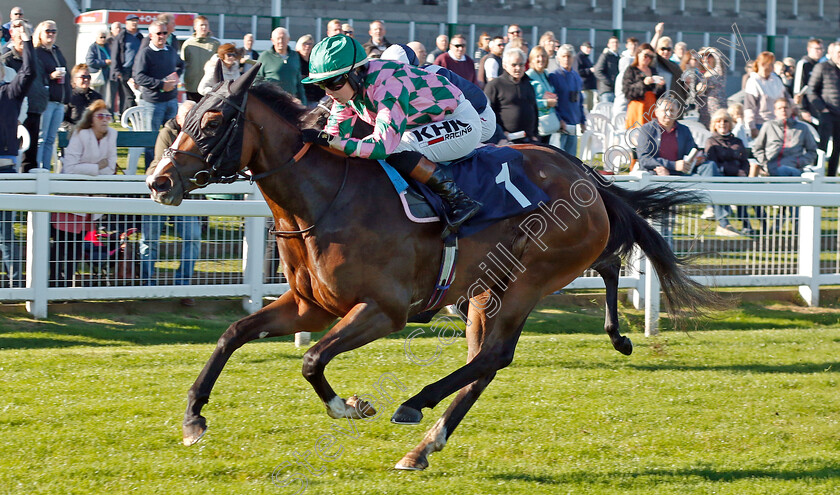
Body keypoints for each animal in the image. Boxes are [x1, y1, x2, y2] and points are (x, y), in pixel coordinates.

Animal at [146, 64, 716, 470]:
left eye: (213, 122)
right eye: (178, 120)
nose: (158, 181)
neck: (323, 200)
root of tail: (584, 173)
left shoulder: (384, 310)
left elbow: (311, 360)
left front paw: (350, 406)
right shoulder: (310, 307)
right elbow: (234, 333)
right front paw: (194, 418)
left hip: (526, 281)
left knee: (496, 354)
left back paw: (415, 404)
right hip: (487, 291)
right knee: (488, 360)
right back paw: (424, 446)